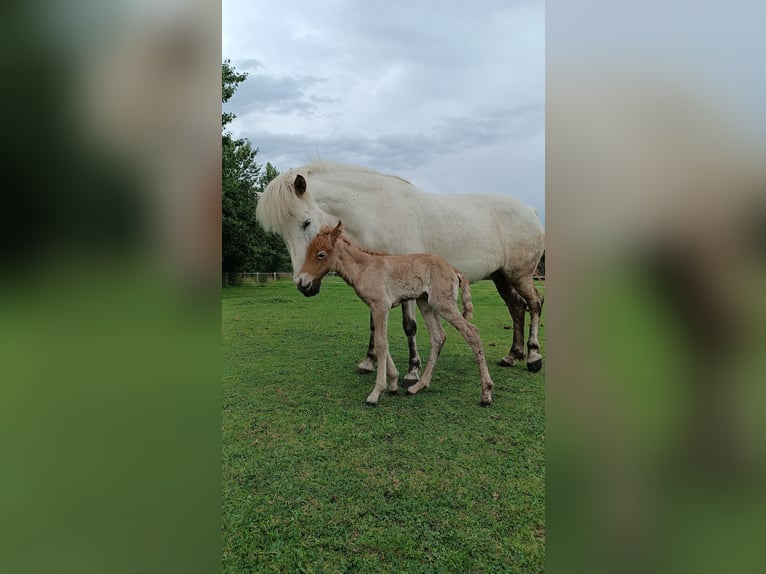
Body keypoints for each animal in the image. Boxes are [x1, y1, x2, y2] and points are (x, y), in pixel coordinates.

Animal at [255, 161, 545, 380]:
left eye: (306, 223)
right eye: (280, 234)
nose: (303, 284)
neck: (377, 212)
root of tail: (531, 211)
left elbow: (410, 326)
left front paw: (413, 371)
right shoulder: (377, 284)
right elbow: (374, 324)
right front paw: (369, 362)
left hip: (520, 275)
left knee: (534, 304)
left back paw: (532, 357)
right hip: (501, 276)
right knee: (517, 308)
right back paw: (512, 355)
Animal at [298, 222, 496, 406]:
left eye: (321, 254)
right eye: (308, 251)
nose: (301, 282)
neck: (364, 267)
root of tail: (454, 269)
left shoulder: (381, 306)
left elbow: (380, 343)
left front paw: (376, 393)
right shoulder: (375, 307)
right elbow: (382, 339)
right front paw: (393, 383)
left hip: (443, 303)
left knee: (472, 332)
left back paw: (486, 394)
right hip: (425, 303)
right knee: (439, 337)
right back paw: (418, 386)